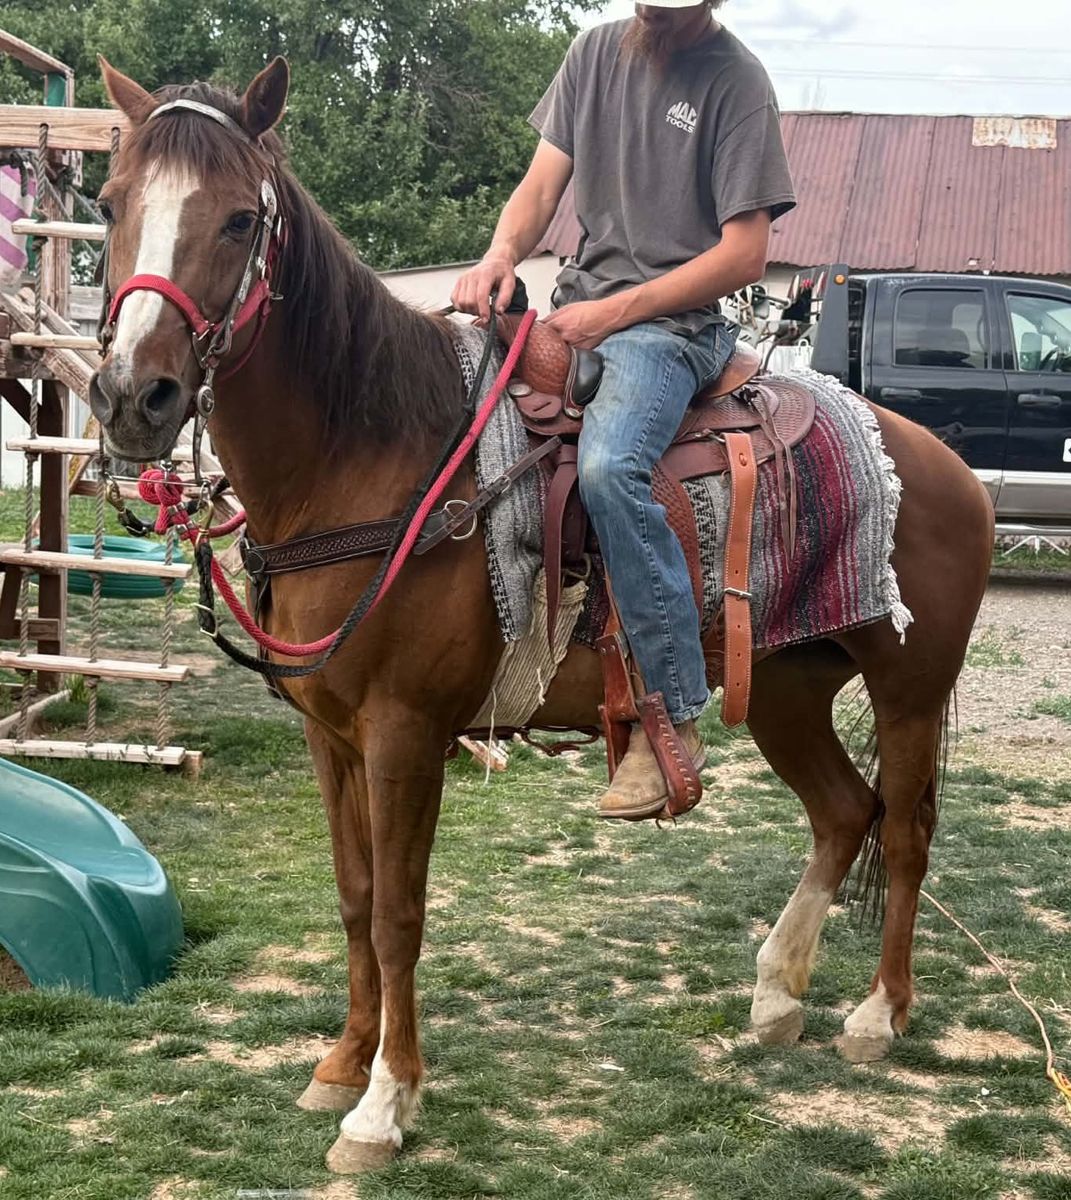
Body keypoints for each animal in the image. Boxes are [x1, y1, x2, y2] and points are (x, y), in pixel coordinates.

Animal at [88, 57, 995, 1173]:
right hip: (787, 690)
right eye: (109, 204)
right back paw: (777, 995)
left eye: (237, 219)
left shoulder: (404, 735)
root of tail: (946, 467)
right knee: (840, 813)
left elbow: (398, 914)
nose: (133, 397)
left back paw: (875, 1013)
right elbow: (352, 899)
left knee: (903, 832)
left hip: (908, 689)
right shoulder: (330, 737)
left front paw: (383, 1104)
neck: (373, 456)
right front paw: (339, 1066)